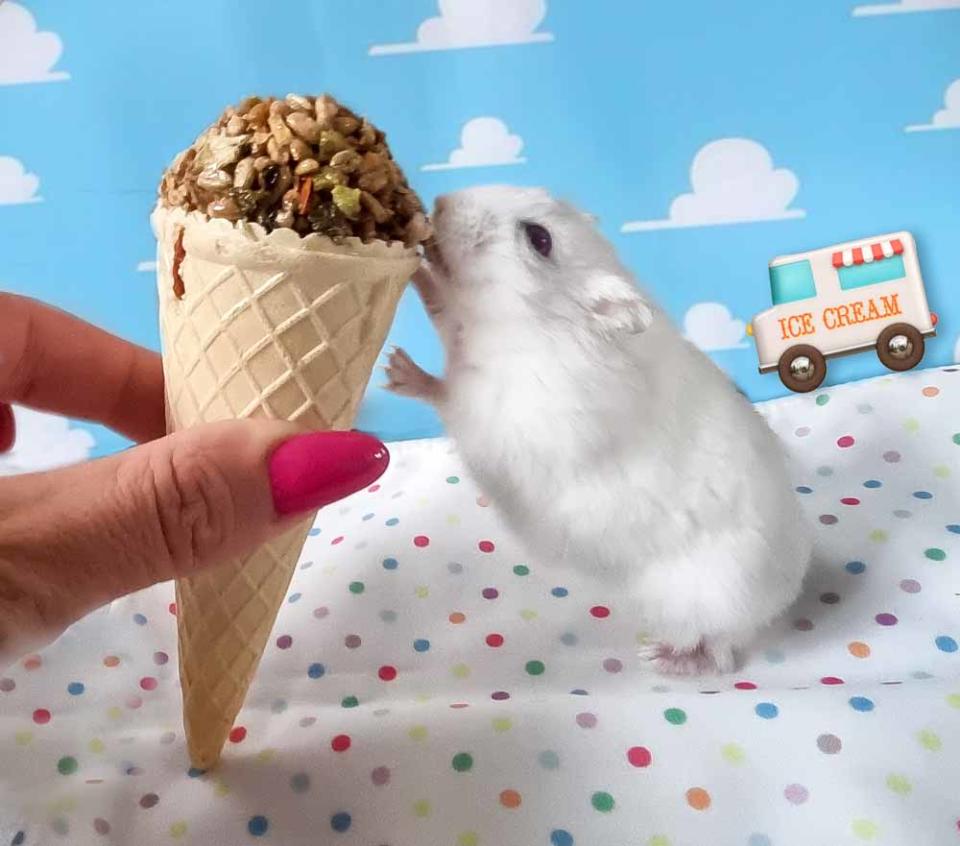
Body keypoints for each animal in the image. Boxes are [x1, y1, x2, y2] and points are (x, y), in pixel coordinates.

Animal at [386, 187, 812, 676]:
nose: (440, 200)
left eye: (539, 238)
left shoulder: (499, 415)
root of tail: (785, 596)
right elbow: (441, 309)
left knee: (721, 653)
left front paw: (397, 371)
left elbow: (448, 395)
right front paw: (417, 271)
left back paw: (660, 658)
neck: (528, 326)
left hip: (708, 604)